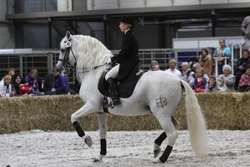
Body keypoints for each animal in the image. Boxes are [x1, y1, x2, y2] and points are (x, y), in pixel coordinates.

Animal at [55, 31, 208, 163]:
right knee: (175, 126)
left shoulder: (91, 105)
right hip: (163, 111)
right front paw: (100, 156)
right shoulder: (100, 111)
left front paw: (87, 140)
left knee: (172, 133)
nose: (57, 68)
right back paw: (156, 148)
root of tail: (178, 80)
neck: (94, 71)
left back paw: (161, 158)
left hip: (161, 112)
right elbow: (102, 133)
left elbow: (73, 117)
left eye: (63, 49)